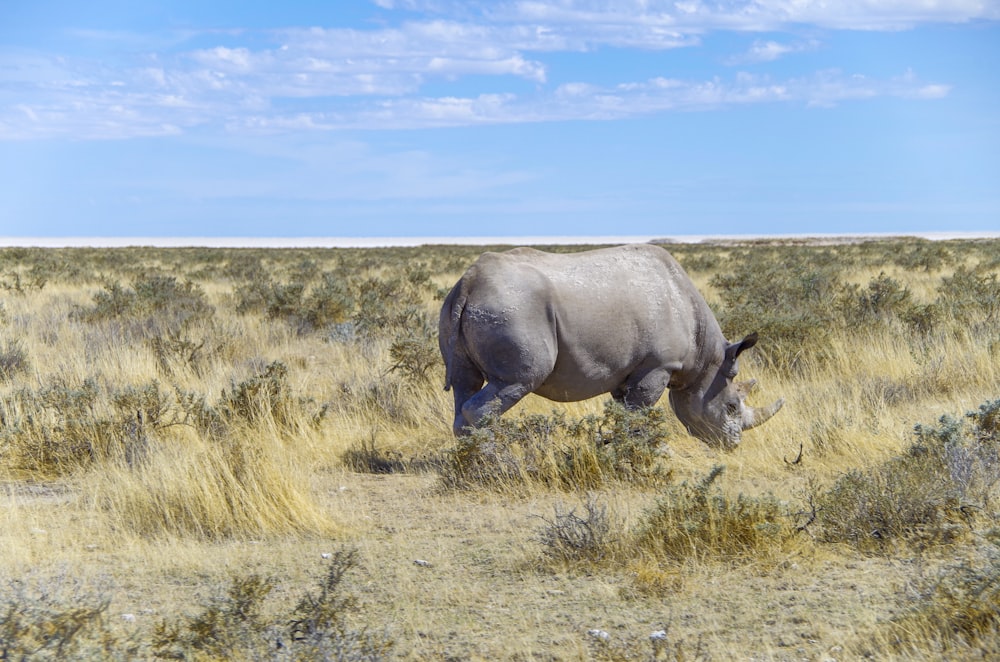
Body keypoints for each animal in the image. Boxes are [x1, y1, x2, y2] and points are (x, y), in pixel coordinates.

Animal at [442, 244, 784, 452]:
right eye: (732, 407)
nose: (733, 445)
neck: (705, 358)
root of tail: (469, 282)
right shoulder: (657, 366)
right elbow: (640, 413)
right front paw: (651, 452)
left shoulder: (628, 372)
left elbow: (625, 413)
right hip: (513, 311)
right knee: (516, 381)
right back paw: (495, 461)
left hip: (469, 308)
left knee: (464, 384)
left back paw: (471, 460)